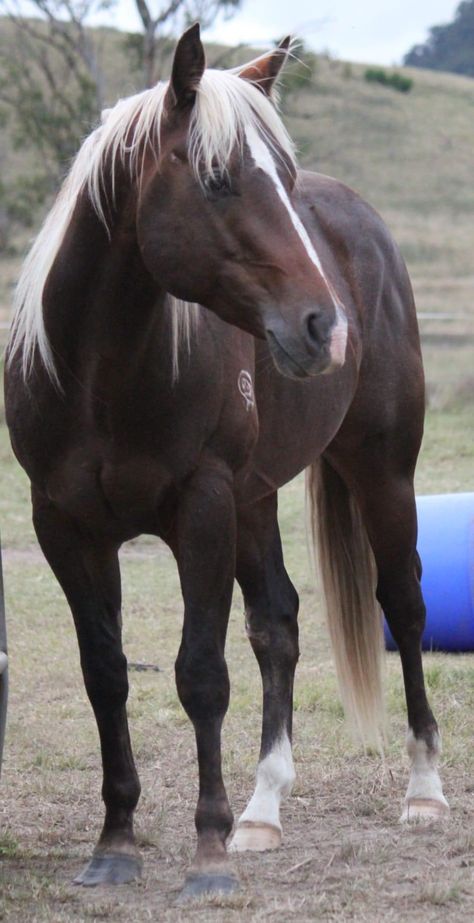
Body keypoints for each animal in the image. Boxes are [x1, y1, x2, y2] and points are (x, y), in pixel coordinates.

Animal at [2, 25, 448, 900]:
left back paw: (423, 790)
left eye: (284, 180)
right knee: (278, 623)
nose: (324, 326)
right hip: (257, 498)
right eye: (216, 179)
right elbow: (107, 673)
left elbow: (201, 673)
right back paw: (262, 810)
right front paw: (116, 842)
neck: (102, 377)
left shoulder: (201, 509)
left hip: (382, 471)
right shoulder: (65, 527)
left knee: (404, 605)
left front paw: (206, 855)